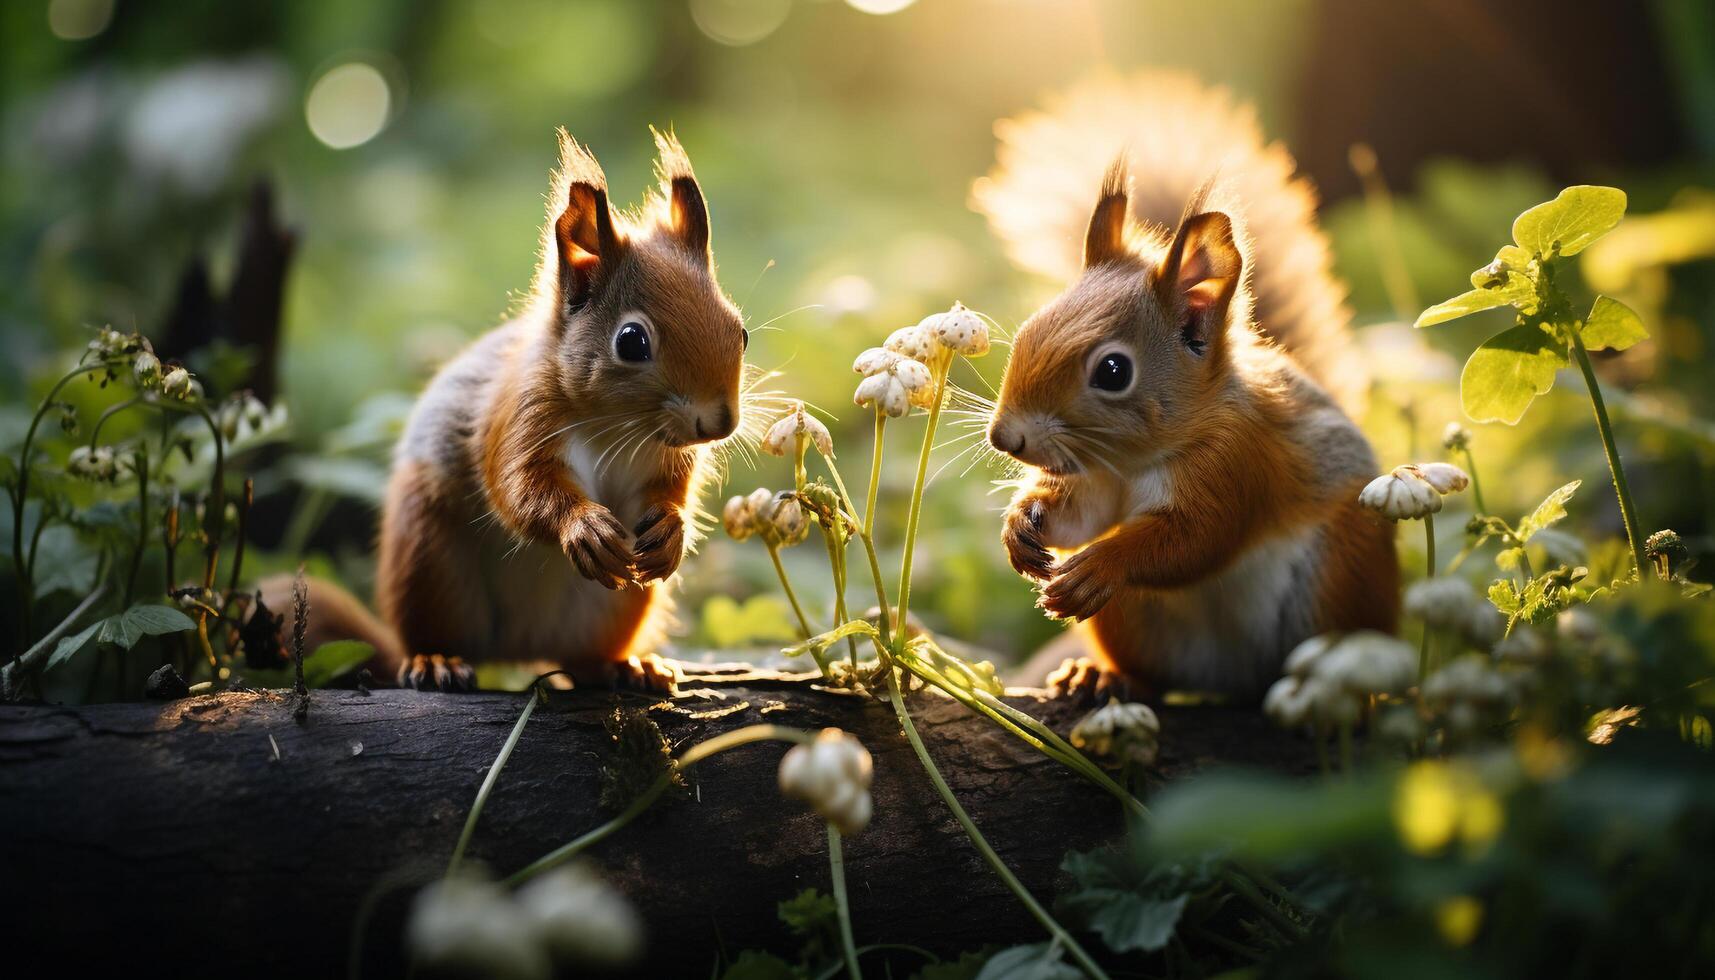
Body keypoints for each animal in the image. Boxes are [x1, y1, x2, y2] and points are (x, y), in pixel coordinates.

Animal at [267, 130, 751, 693]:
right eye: (632, 341)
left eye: (739, 330)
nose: (719, 423)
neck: (614, 426)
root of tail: (520, 652)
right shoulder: (517, 419)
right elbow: (519, 489)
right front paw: (582, 527)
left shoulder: (666, 459)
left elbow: (669, 494)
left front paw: (673, 530)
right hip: (428, 557)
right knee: (431, 634)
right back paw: (435, 661)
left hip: (615, 605)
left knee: (583, 659)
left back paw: (625, 666)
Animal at [980, 74, 1392, 707]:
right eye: (1027, 329)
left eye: (1114, 372)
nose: (1006, 438)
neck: (1135, 461)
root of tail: (1232, 684)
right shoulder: (1098, 479)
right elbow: (1081, 519)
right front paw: (1021, 522)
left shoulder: (1236, 464)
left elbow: (1195, 541)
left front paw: (1103, 563)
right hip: (1132, 623)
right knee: (1155, 676)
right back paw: (1103, 676)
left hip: (1340, 579)